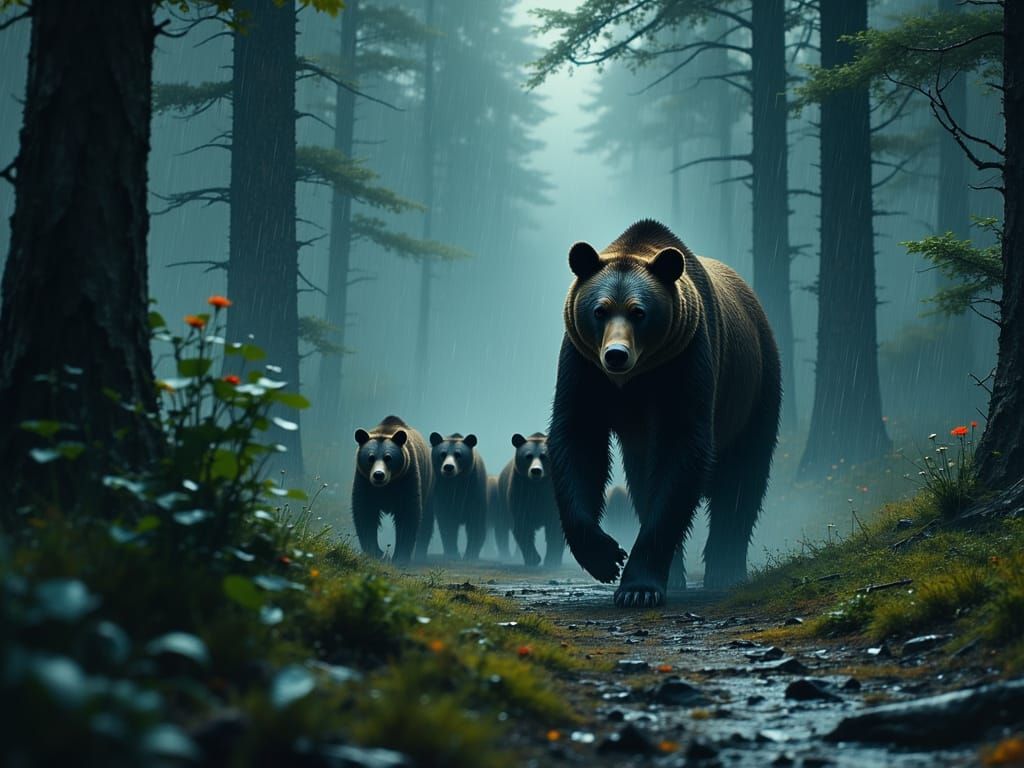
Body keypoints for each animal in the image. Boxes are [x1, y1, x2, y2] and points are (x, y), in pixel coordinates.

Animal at [351, 416, 433, 564]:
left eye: (388, 457)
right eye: (370, 457)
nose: (378, 475)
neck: (387, 486)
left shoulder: (407, 478)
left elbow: (408, 514)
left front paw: (400, 556)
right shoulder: (364, 481)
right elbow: (365, 512)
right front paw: (376, 552)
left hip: (429, 484)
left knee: (427, 519)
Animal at [423, 432, 488, 561]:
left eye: (458, 454)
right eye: (442, 454)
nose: (448, 467)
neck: (456, 481)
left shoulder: (474, 489)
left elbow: (476, 522)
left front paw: (470, 554)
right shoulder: (442, 491)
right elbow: (447, 522)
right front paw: (453, 553)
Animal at [498, 433, 565, 568]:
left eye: (544, 456)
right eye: (528, 456)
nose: (536, 470)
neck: (537, 486)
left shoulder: (550, 496)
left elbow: (555, 527)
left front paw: (552, 560)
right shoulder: (520, 491)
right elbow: (523, 525)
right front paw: (534, 558)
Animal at [549, 219, 781, 607]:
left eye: (638, 311)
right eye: (599, 310)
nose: (616, 354)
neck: (632, 381)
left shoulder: (686, 362)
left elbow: (681, 452)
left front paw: (637, 587)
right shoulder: (584, 369)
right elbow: (578, 441)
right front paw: (606, 557)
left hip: (755, 388)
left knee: (743, 479)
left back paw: (726, 570)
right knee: (642, 481)